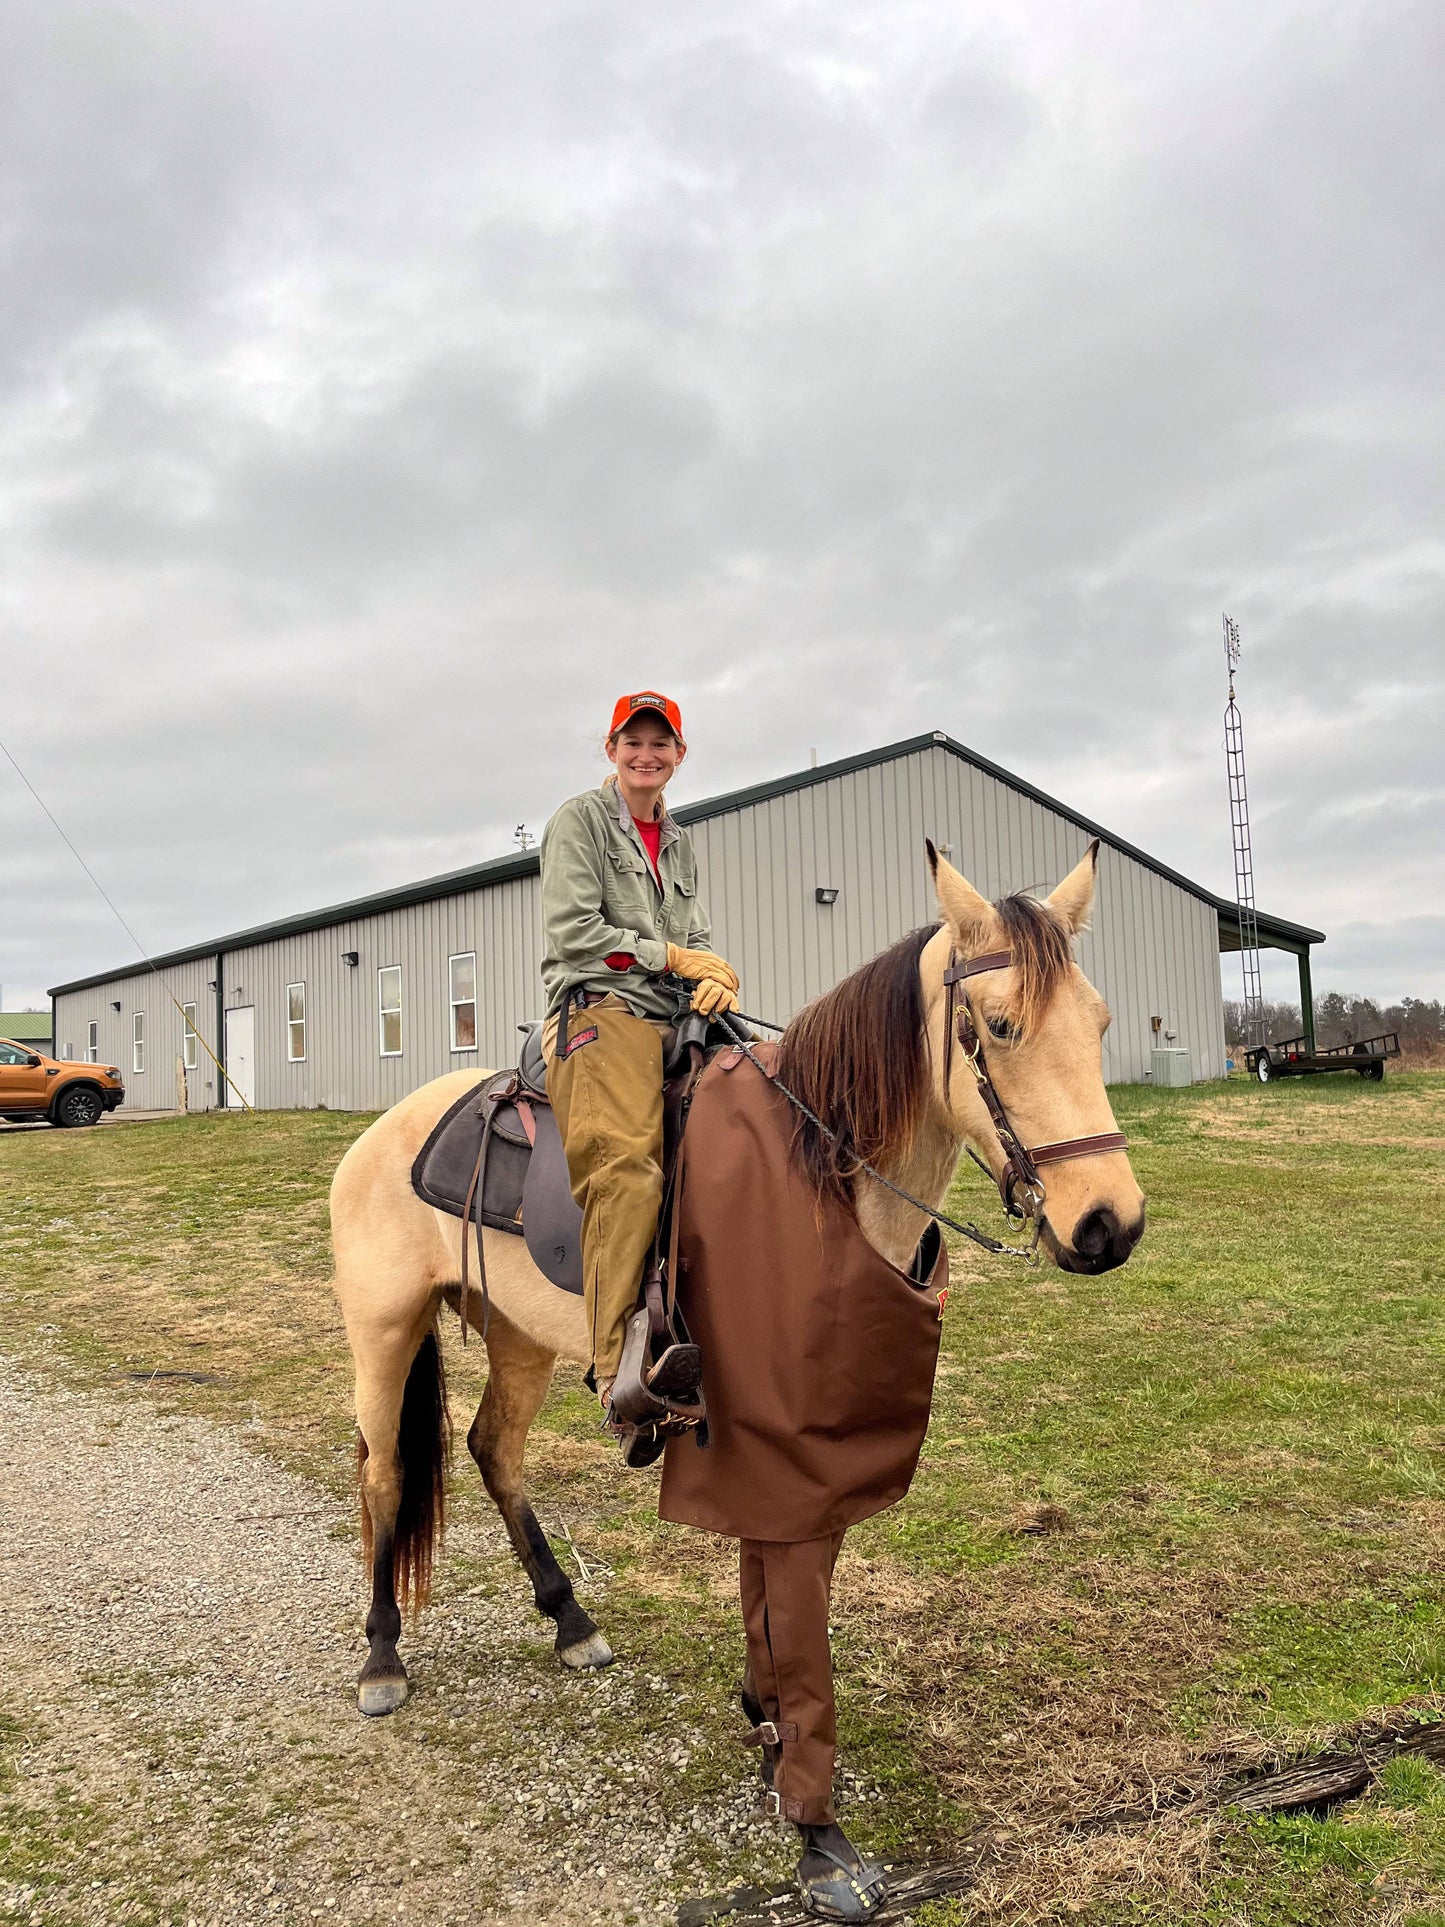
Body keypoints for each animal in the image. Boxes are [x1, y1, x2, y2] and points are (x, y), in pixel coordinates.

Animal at [330, 839, 1145, 1757]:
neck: (814, 1165)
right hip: (383, 1328)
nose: (1109, 1223)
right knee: (385, 1472)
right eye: (999, 1025)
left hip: (516, 1333)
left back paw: (570, 1618)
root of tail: (387, 1129)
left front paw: (767, 1707)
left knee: (494, 1450)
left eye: (1099, 1022)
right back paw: (382, 1656)